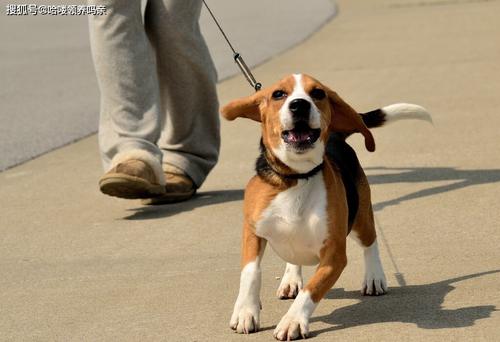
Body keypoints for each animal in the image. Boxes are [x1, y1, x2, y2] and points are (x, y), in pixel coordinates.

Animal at [222, 74, 430, 340]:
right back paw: (291, 279)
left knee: (371, 242)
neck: (297, 178)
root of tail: (335, 136)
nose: (299, 105)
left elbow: (312, 290)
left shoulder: (335, 255)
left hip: (361, 217)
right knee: (294, 258)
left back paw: (374, 277)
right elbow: (250, 273)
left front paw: (292, 321)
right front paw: (245, 311)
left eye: (318, 93)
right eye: (278, 94)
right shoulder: (252, 232)